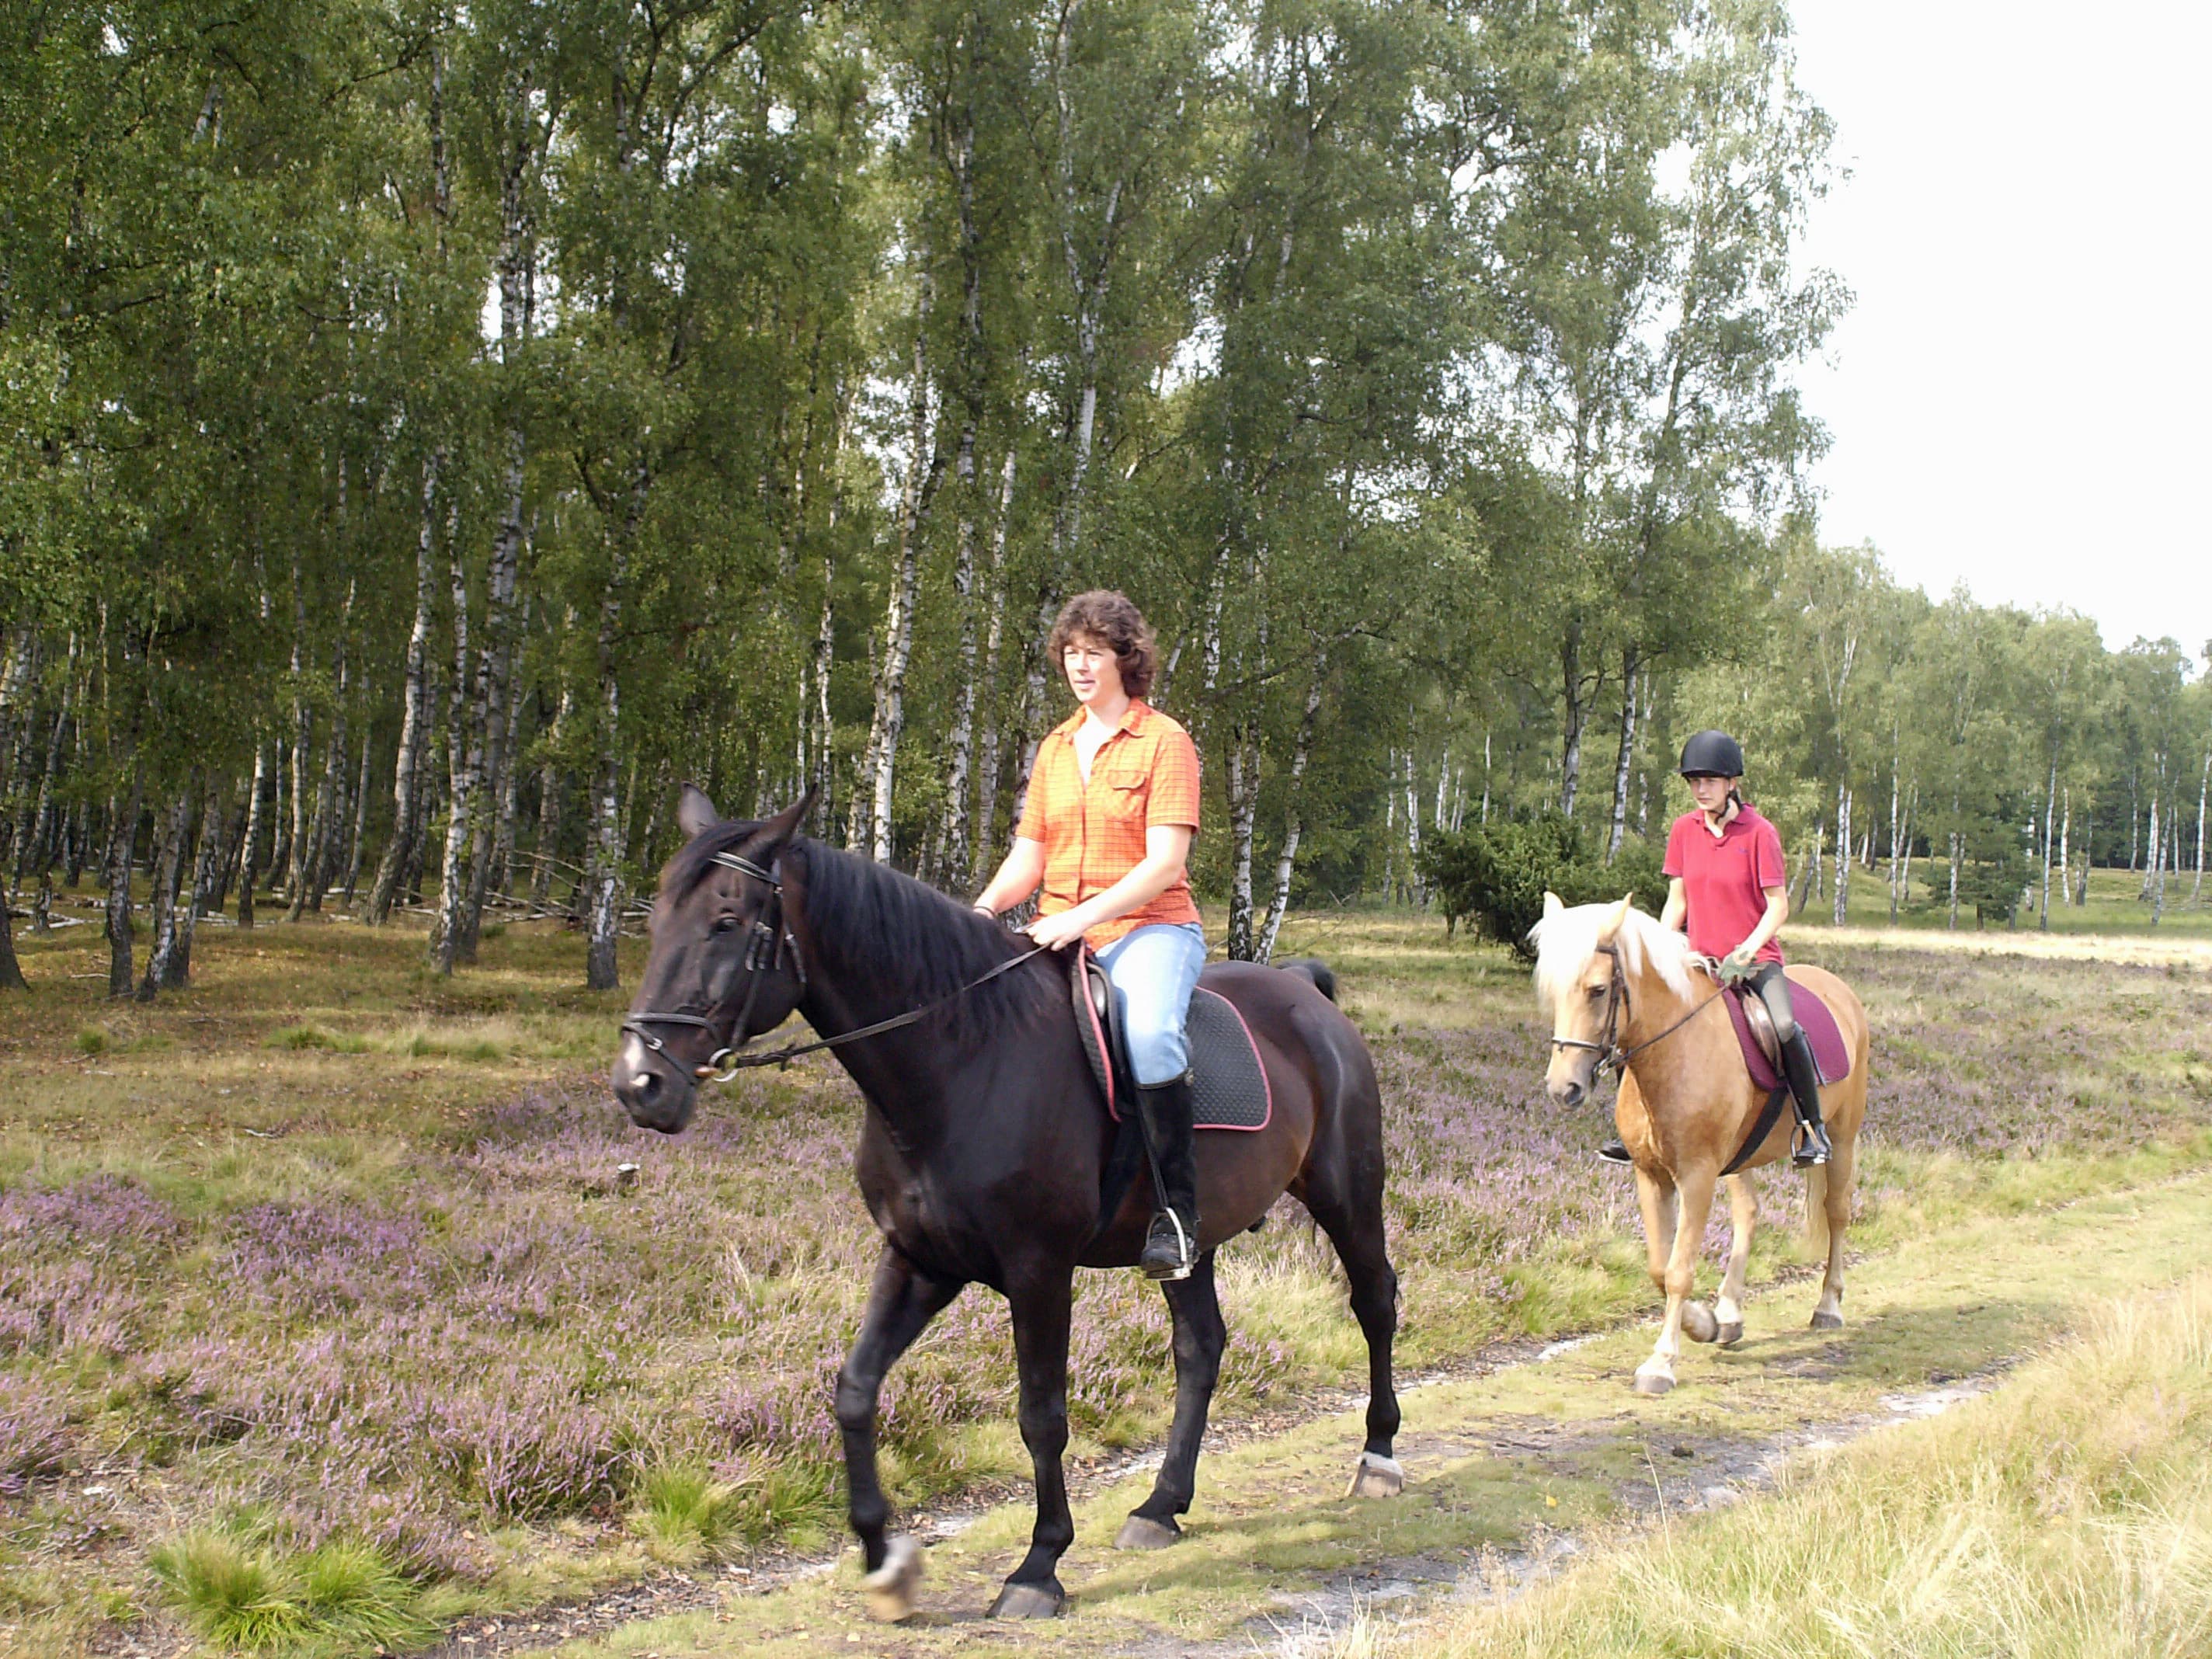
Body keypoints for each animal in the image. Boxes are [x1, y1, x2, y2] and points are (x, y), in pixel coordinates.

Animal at [610, 791, 1397, 1628]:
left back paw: (1377, 1457)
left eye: (726, 921)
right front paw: (884, 1562)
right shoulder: (918, 1260)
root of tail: (1304, 991)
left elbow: (1040, 1415)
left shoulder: (1038, 1270)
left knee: (1374, 1303)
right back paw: (1160, 1506)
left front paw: (1038, 1566)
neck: (960, 1060)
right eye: (659, 921)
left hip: (1348, 1194)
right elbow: (855, 1391)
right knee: (1201, 1348)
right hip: (1190, 1242)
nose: (639, 1084)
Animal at [1539, 898, 1866, 1407]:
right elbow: (1659, 1267)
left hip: (1843, 1137)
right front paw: (1704, 1324)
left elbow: (1678, 1271)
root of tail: (1839, 991)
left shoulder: (1695, 1176)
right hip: (1740, 1158)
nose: (1563, 1088)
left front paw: (1660, 1364)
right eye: (1552, 991)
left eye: (1597, 990)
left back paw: (1828, 1305)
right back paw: (1729, 1314)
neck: (1673, 1050)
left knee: (1836, 1213)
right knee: (1748, 1213)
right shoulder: (1652, 1175)